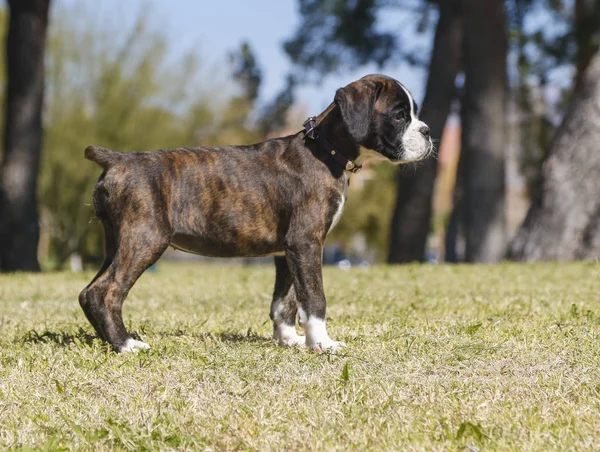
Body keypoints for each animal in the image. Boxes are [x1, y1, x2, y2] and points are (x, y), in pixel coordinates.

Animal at [78, 75, 432, 354]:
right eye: (400, 115)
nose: (428, 132)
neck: (325, 150)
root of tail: (118, 158)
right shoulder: (306, 243)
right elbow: (313, 298)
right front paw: (322, 343)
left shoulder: (288, 252)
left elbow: (286, 301)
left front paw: (289, 339)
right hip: (145, 240)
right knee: (105, 292)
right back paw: (125, 344)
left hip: (117, 243)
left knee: (87, 292)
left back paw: (111, 340)